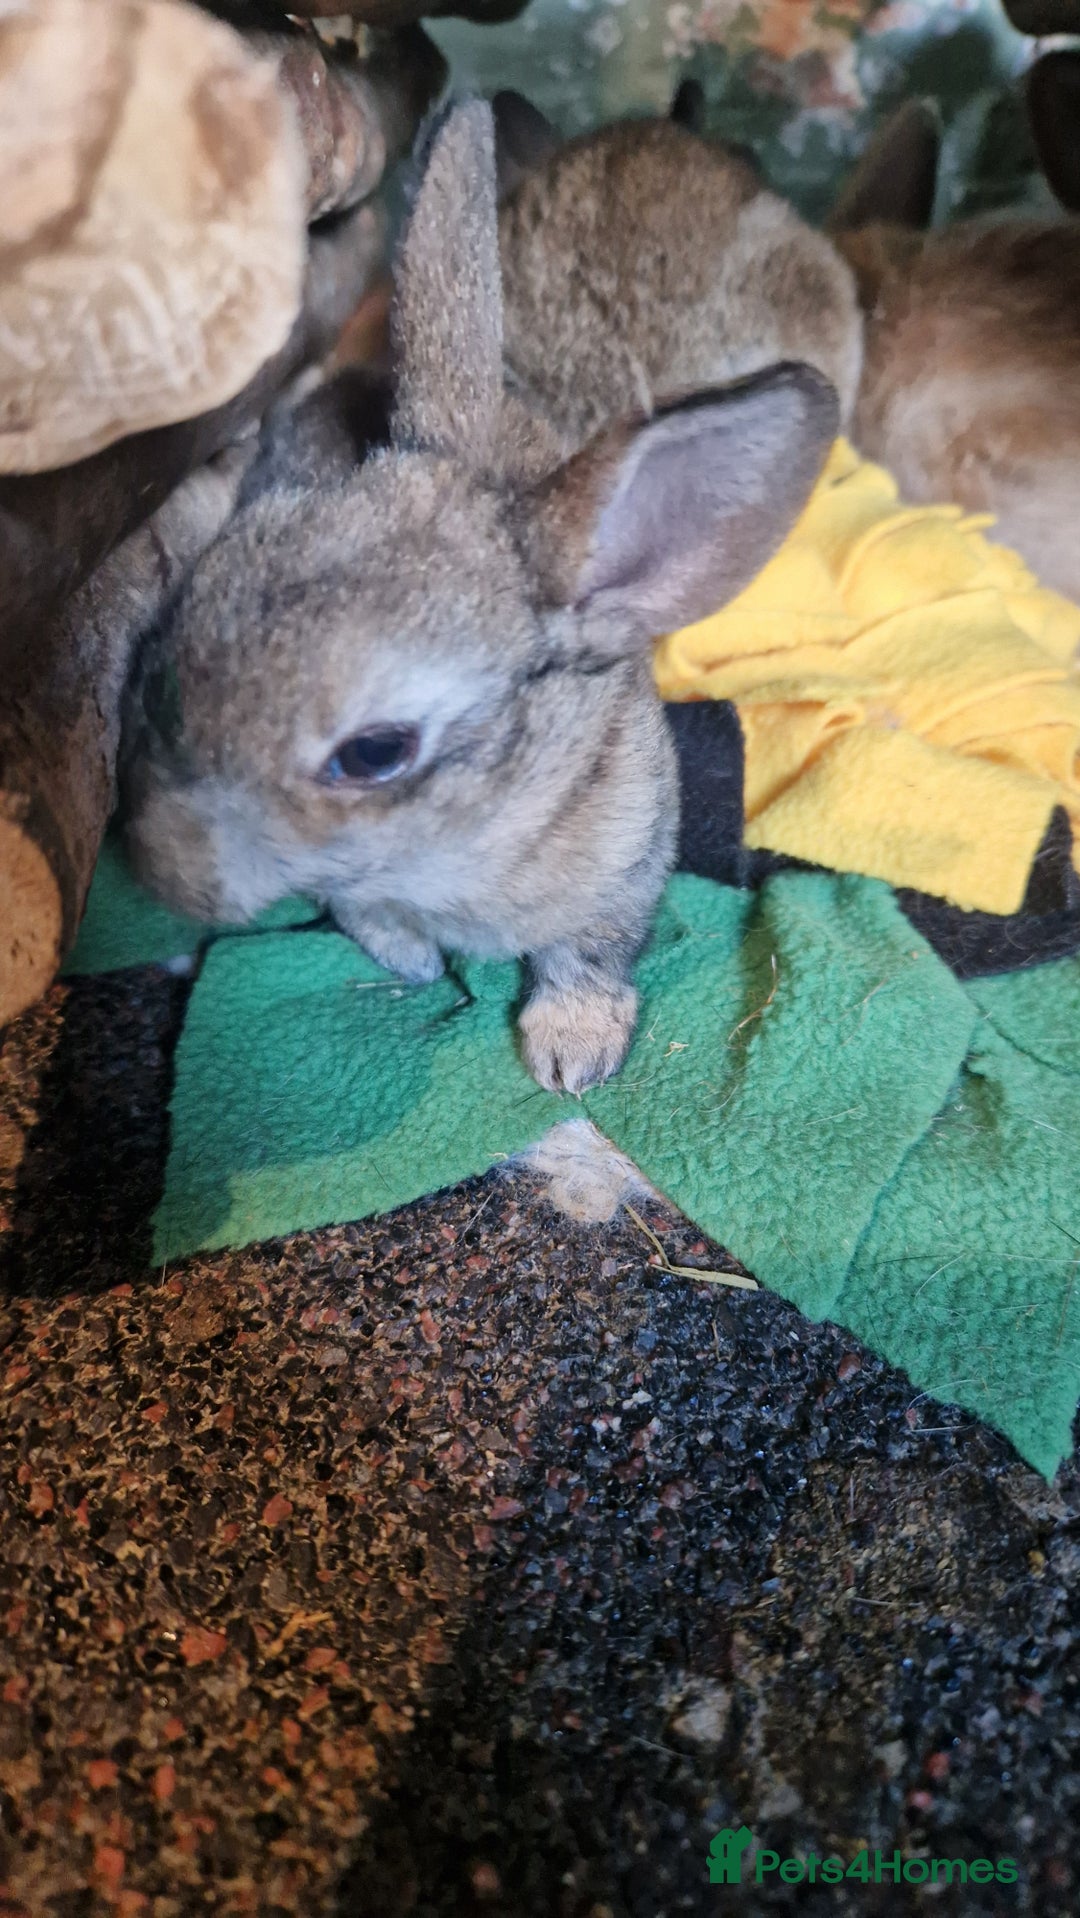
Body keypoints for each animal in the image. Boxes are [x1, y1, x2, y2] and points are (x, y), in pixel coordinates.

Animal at [120, 100, 838, 1096]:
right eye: (183, 623)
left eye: (374, 753)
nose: (157, 868)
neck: (460, 842)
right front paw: (417, 962)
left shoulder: (622, 869)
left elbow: (588, 958)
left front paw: (571, 1056)